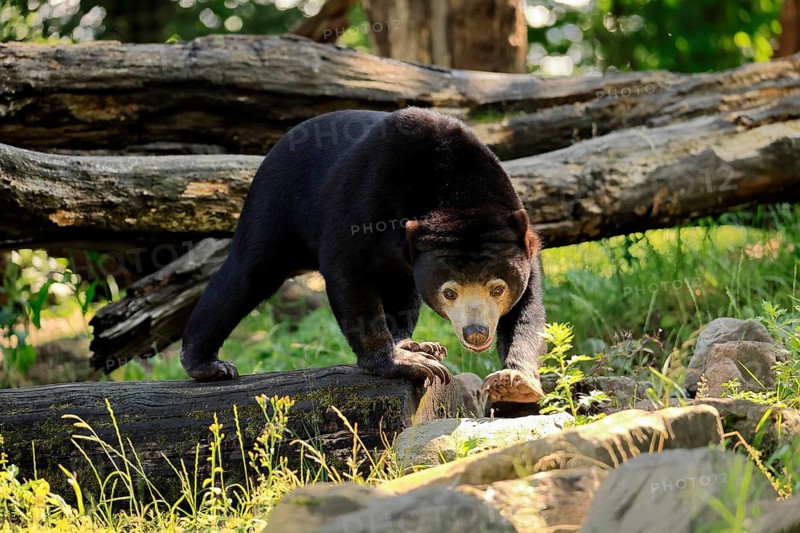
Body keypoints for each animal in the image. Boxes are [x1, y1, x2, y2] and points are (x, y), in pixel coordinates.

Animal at [180, 107, 546, 403]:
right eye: (449, 292)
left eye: (497, 288)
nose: (475, 333)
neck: (453, 192)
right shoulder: (368, 196)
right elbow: (347, 270)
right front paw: (403, 364)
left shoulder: (518, 236)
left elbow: (527, 304)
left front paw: (515, 380)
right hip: (274, 206)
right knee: (246, 275)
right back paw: (207, 364)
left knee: (403, 290)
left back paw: (413, 343)